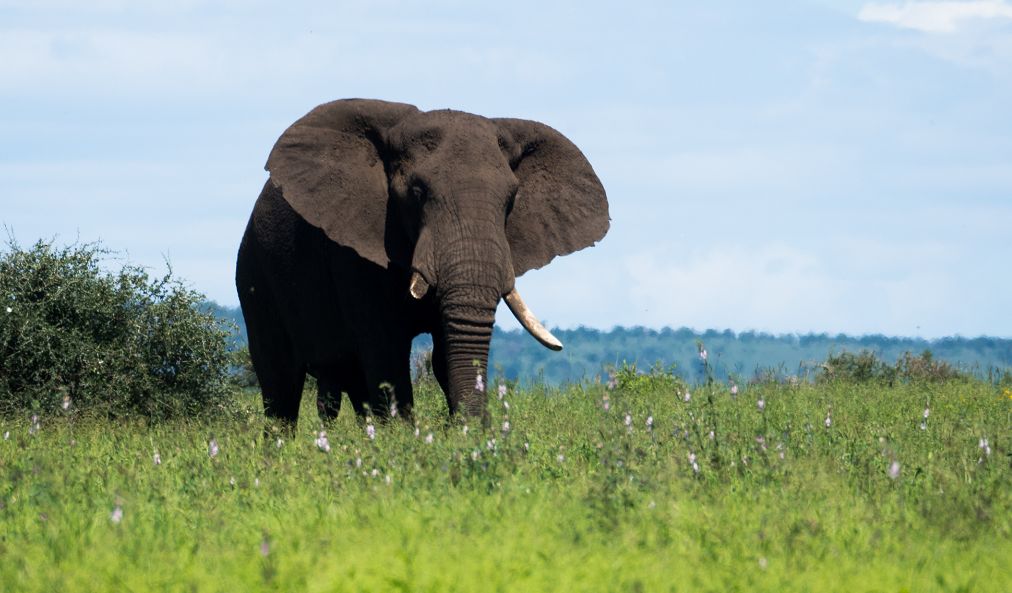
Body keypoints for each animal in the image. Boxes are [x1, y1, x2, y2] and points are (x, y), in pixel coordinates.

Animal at [234, 99, 607, 427]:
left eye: (512, 200)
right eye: (416, 192)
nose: (476, 428)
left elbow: (444, 352)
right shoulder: (352, 253)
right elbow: (386, 352)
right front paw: (405, 443)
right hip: (255, 276)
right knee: (280, 385)